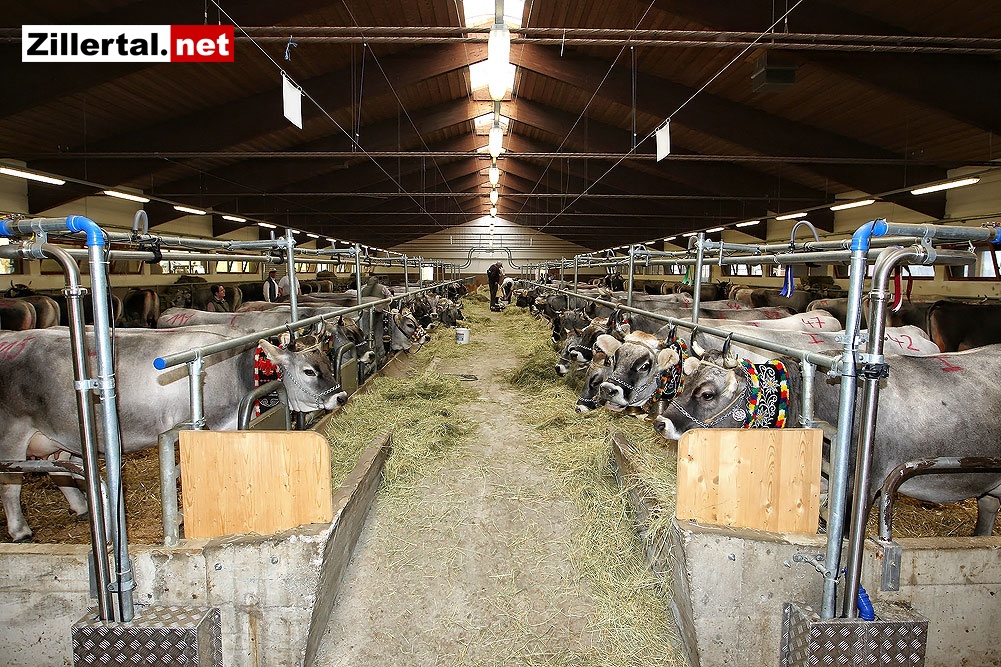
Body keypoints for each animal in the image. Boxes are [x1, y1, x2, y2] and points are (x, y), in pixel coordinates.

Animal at [0, 324, 347, 542]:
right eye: (309, 370)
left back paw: (84, 508)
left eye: (327, 358)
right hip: (13, 433)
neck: (237, 370)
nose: (340, 396)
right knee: (11, 485)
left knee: (61, 470)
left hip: (60, 435)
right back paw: (20, 531)